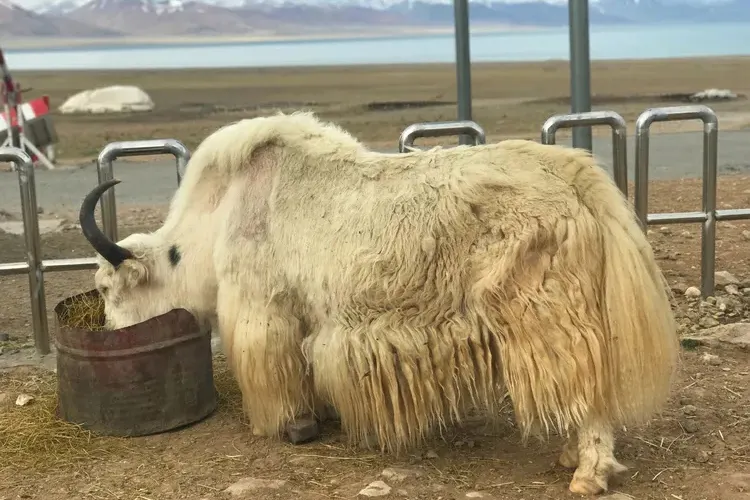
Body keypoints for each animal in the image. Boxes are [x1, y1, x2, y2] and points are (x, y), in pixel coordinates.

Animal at [78, 111, 679, 495]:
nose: (106, 335)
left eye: (108, 288)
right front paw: (318, 415)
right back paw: (572, 455)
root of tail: (575, 176)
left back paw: (587, 473)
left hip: (544, 313)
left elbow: (278, 367)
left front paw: (291, 426)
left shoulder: (262, 306)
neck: (216, 219)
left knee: (586, 386)